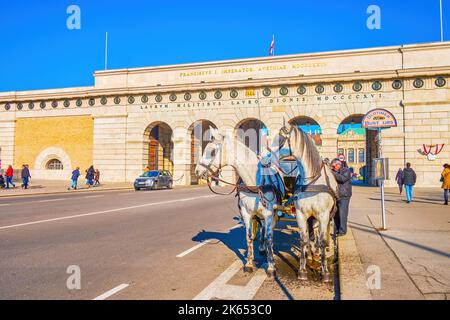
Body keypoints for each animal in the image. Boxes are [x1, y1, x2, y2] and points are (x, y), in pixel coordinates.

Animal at [195, 126, 280, 276]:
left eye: (212, 152)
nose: (196, 171)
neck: (254, 182)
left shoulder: (269, 214)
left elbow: (269, 237)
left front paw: (271, 266)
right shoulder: (247, 213)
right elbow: (249, 236)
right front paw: (249, 263)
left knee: (269, 231)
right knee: (263, 228)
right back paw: (262, 248)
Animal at [268, 125, 338, 282]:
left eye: (280, 138)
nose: (266, 156)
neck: (311, 181)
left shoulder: (323, 216)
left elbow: (321, 241)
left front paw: (325, 272)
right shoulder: (301, 215)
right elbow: (304, 240)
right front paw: (302, 269)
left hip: (325, 217)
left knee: (319, 236)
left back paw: (320, 251)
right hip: (311, 217)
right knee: (311, 235)